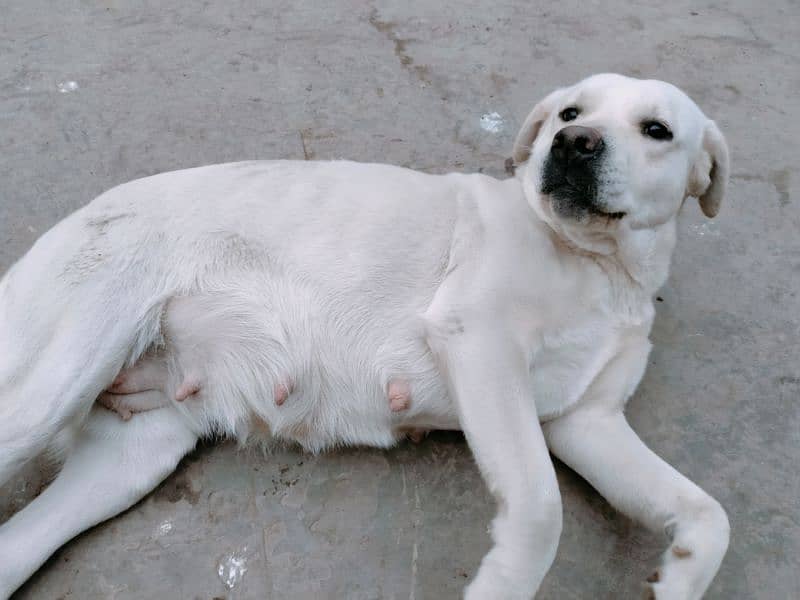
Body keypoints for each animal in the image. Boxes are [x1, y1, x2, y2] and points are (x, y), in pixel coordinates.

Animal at [0, 75, 728, 600]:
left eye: (657, 130)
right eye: (569, 113)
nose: (574, 143)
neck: (600, 266)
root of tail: (73, 218)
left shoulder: (585, 423)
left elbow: (710, 515)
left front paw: (679, 580)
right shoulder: (480, 341)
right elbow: (541, 507)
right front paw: (502, 583)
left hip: (131, 457)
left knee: (16, 546)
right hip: (44, 395)